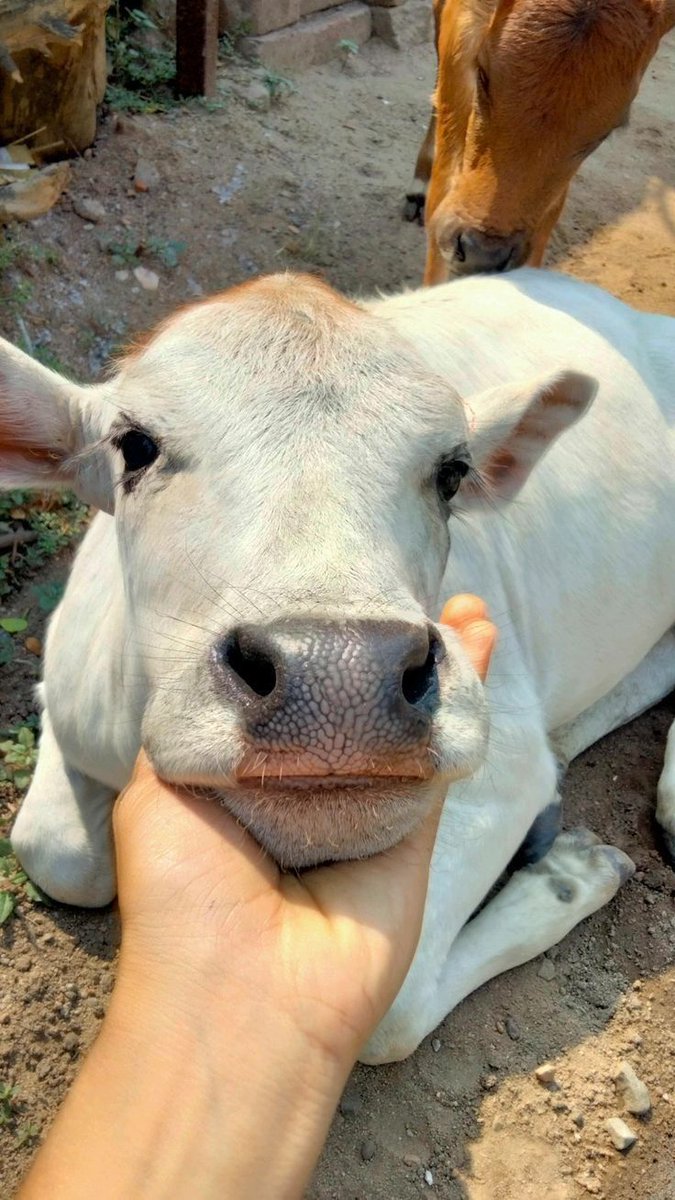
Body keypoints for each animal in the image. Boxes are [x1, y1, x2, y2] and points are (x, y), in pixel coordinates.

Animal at [3, 267, 675, 1064]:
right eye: (135, 446)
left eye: (453, 473)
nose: (340, 682)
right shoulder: (68, 691)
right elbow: (55, 853)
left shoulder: (505, 764)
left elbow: (392, 1013)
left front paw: (568, 878)